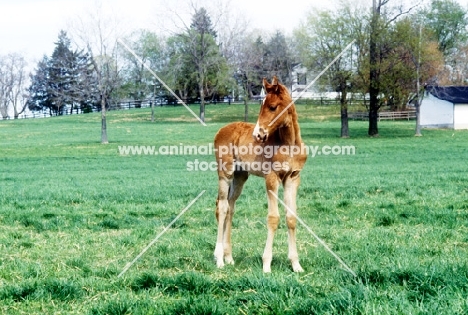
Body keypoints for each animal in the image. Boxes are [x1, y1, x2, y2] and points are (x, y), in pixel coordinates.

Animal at [212, 77, 308, 274]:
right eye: (261, 104)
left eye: (272, 107)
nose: (258, 134)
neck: (289, 145)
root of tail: (221, 130)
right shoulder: (271, 177)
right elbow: (273, 218)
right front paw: (266, 265)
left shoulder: (293, 178)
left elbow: (291, 217)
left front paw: (296, 265)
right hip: (225, 173)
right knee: (222, 208)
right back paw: (219, 259)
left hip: (240, 176)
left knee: (230, 206)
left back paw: (229, 257)